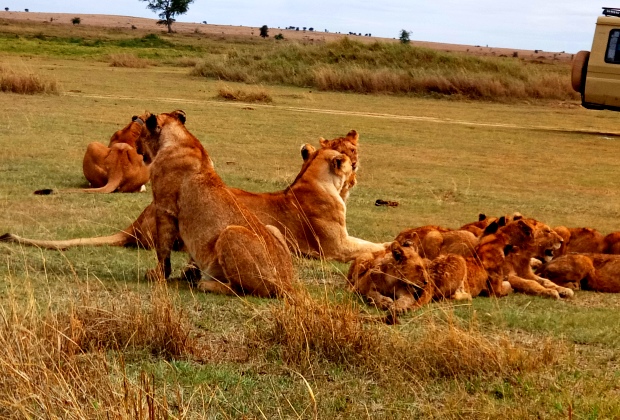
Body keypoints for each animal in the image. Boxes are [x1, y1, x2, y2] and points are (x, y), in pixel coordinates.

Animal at [137, 110, 296, 296]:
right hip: (273, 228)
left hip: (231, 232)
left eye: (141, 134)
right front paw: (188, 273)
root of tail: (287, 283)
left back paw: (204, 284)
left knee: (238, 289)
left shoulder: (164, 209)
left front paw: (159, 274)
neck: (181, 139)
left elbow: (163, 249)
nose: (137, 147)